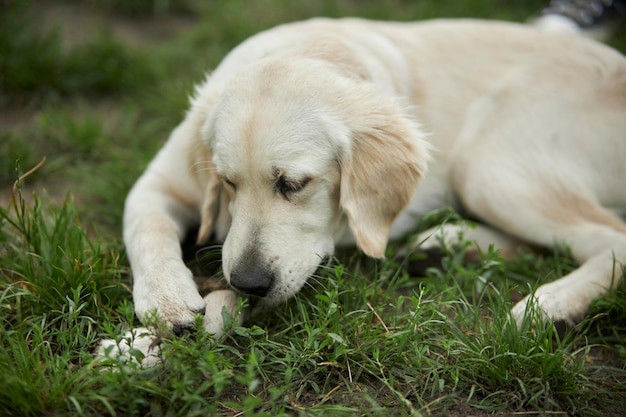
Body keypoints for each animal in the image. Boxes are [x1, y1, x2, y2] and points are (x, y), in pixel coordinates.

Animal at [119, 17, 624, 344]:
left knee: (612, 237)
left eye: (295, 184)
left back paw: (552, 305)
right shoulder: (157, 183)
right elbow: (146, 229)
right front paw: (166, 300)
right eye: (227, 183)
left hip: (487, 164)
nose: (248, 281)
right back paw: (451, 245)